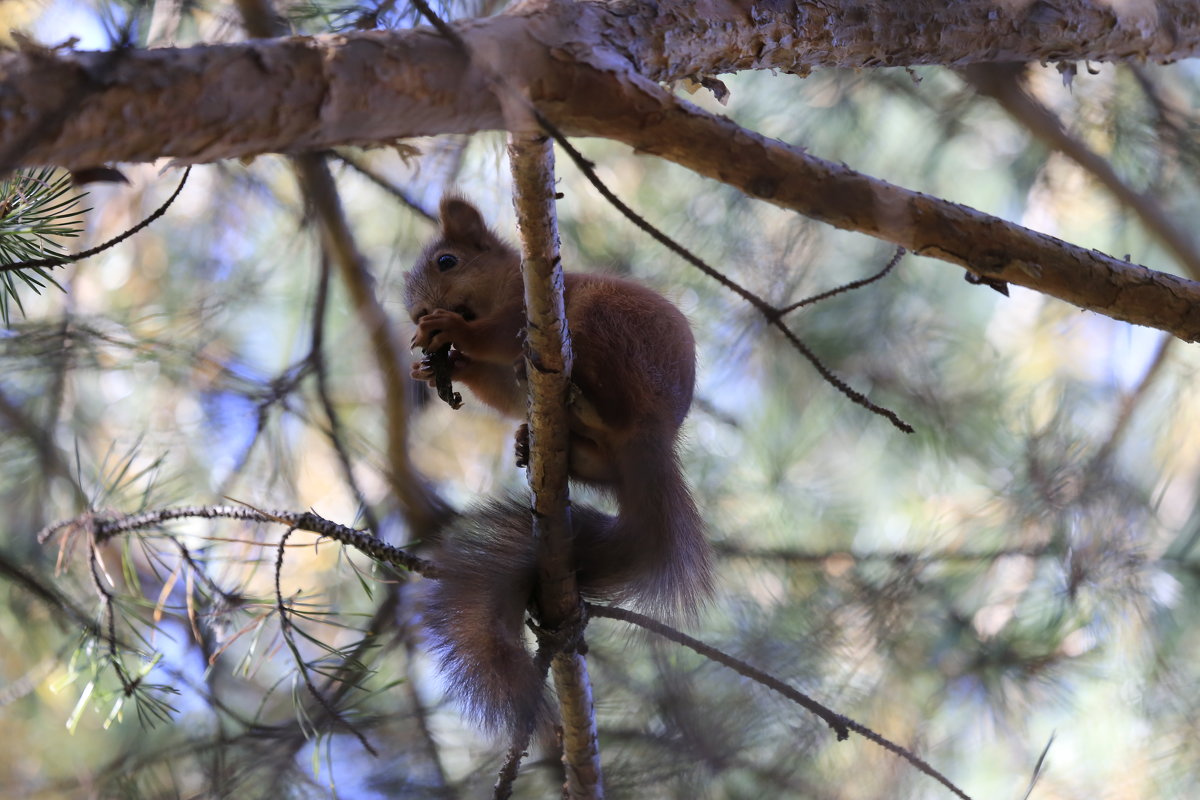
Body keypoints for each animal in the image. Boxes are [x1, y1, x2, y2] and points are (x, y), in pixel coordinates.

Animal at [403, 196, 710, 734]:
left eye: (447, 261)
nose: (420, 313)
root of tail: (653, 438)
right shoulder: (502, 382)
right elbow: (493, 383)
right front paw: (439, 365)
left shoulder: (526, 311)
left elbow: (495, 336)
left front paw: (454, 332)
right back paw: (533, 442)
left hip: (604, 328)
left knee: (608, 397)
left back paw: (584, 404)